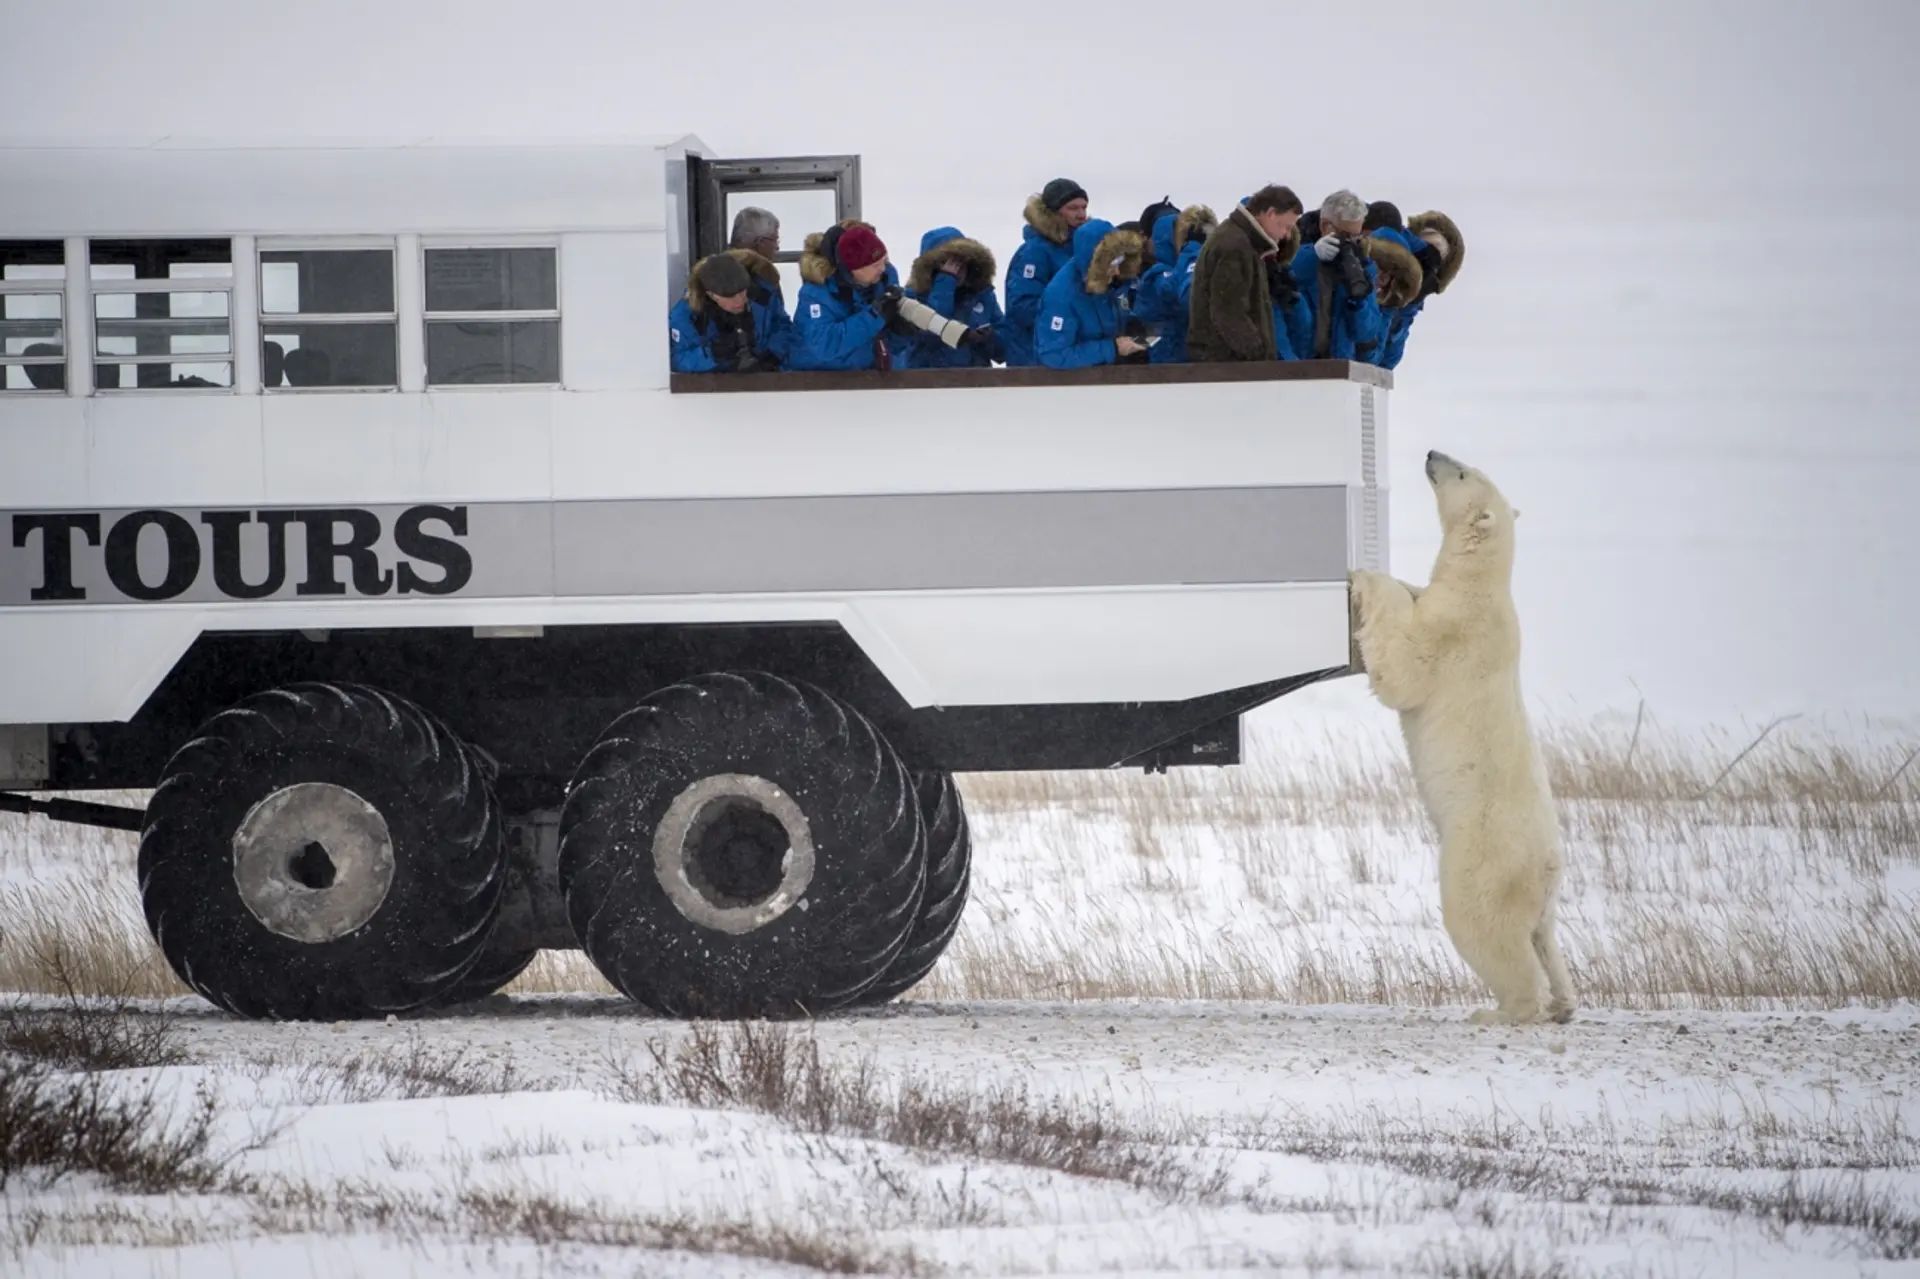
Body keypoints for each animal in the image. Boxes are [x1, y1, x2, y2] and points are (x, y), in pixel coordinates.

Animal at [1351, 451, 1574, 1029]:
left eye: (1462, 473)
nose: (1433, 453)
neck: (1481, 584)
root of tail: (1546, 868)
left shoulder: (1455, 632)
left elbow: (1404, 669)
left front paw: (1367, 578)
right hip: (1541, 891)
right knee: (1544, 936)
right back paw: (1564, 1001)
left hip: (1481, 854)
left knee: (1484, 926)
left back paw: (1502, 1010)